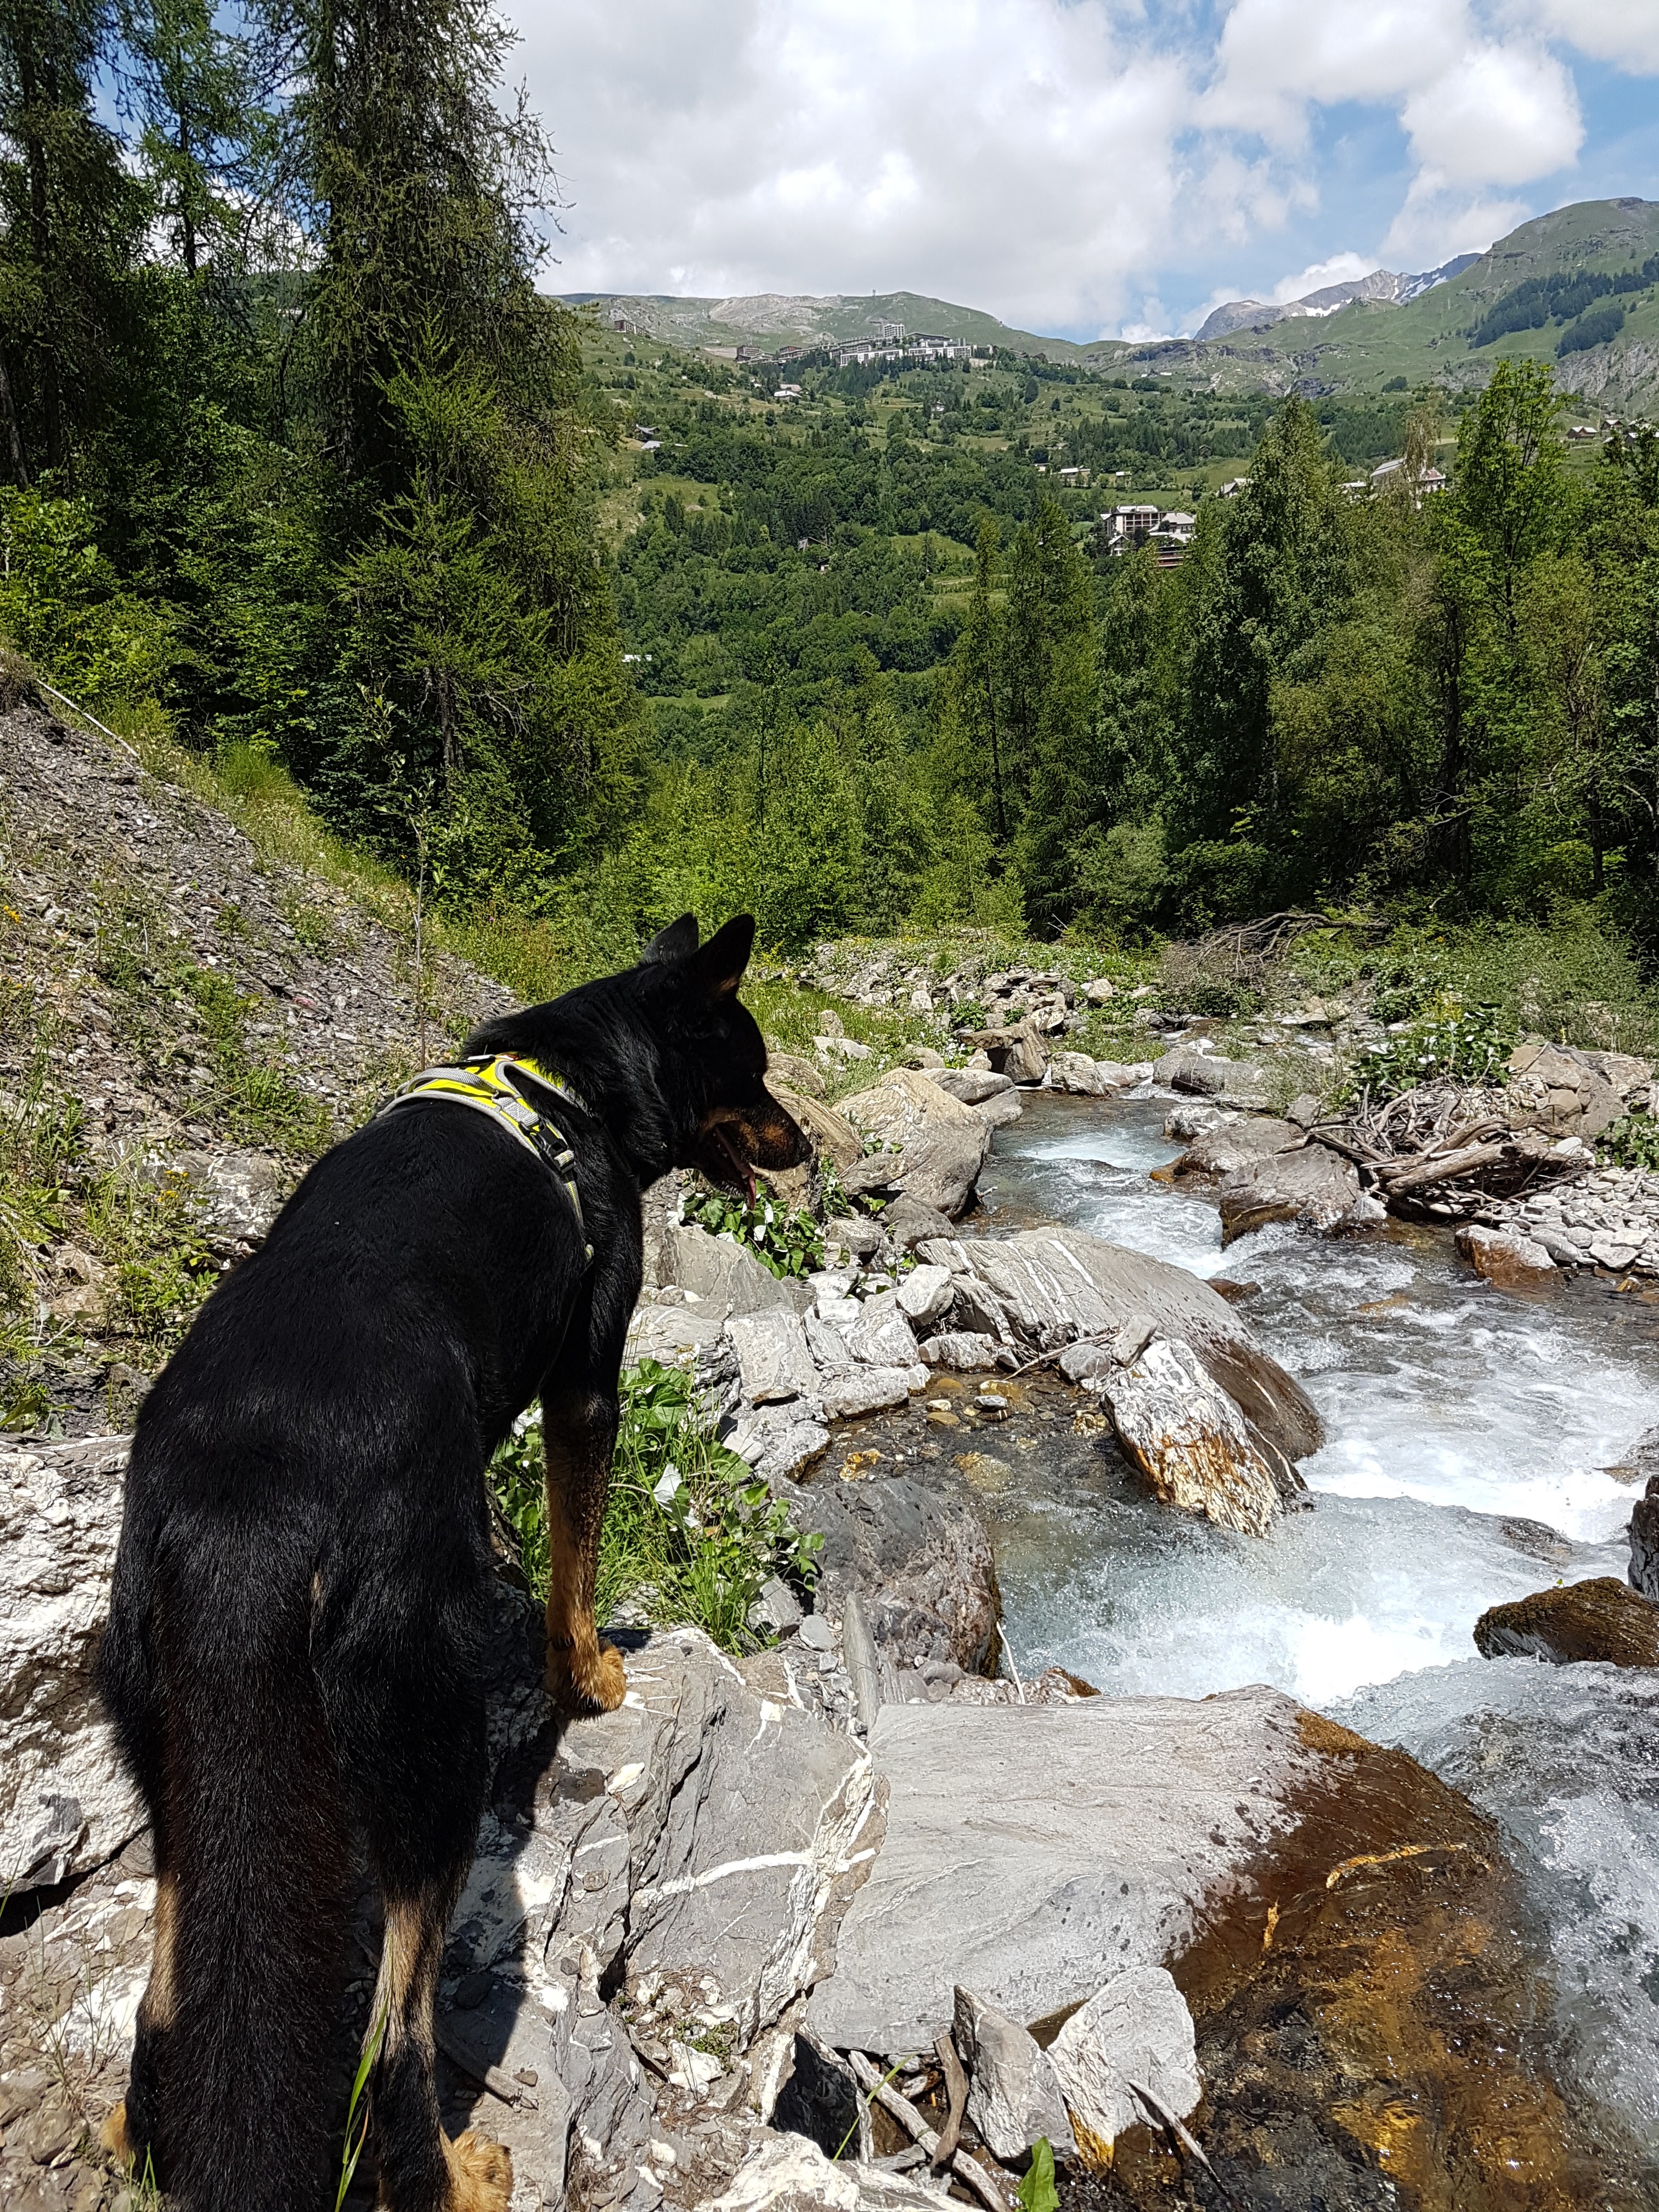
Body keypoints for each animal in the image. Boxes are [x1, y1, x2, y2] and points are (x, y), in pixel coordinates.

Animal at [96, 913, 807, 2211]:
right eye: (755, 1068)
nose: (807, 1144)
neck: (579, 1078)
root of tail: (251, 1504)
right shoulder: (588, 1381)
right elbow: (577, 1553)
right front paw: (588, 1673)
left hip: (164, 1734)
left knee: (168, 1995)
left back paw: (144, 2137)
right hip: (426, 1744)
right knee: (393, 2038)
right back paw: (458, 2175)